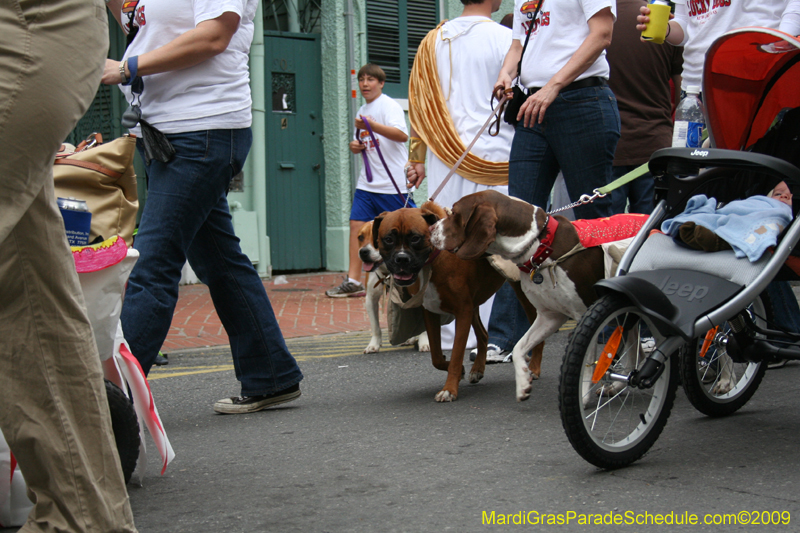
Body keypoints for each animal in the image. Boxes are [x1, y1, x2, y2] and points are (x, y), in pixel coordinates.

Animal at [358, 220, 428, 354]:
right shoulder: (370, 299)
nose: (363, 251)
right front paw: (373, 345)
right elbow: (375, 326)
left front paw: (425, 342)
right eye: (360, 237)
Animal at [372, 202, 540, 402]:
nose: (402, 258)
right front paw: (459, 371)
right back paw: (477, 369)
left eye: (415, 238)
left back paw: (535, 369)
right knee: (483, 334)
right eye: (389, 239)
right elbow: (436, 357)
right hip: (473, 305)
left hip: (522, 295)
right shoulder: (432, 312)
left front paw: (450, 389)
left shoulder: (462, 312)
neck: (432, 261)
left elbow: (457, 354)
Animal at [428, 189, 648, 402]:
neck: (540, 245)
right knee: (636, 352)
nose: (430, 230)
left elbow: (586, 362)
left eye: (454, 213)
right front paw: (523, 383)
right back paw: (618, 386)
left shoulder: (587, 313)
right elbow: (519, 347)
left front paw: (582, 395)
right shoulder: (551, 315)